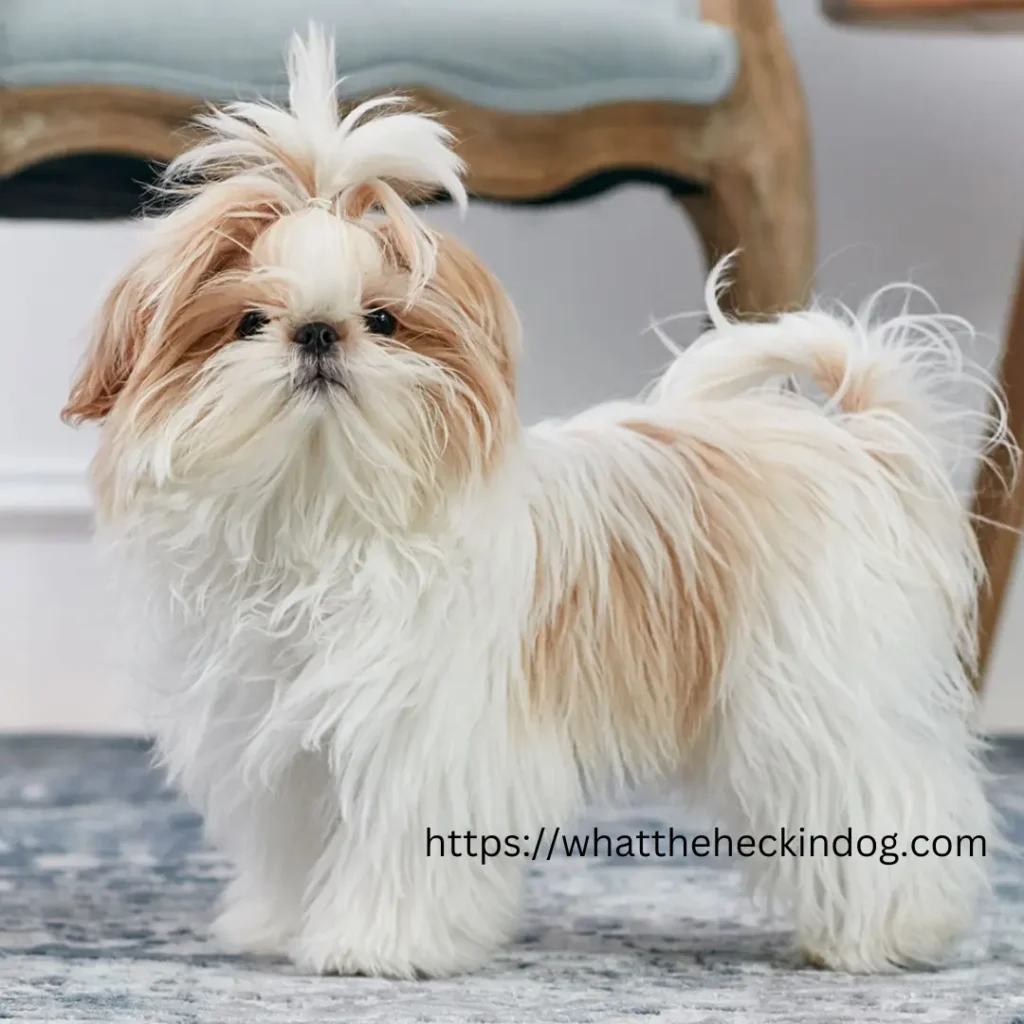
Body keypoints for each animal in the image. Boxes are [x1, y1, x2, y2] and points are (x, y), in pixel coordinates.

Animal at [61, 28, 1007, 978]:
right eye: (250, 322)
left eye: (384, 320)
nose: (318, 332)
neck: (320, 509)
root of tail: (858, 443)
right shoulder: (285, 749)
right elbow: (298, 847)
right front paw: (282, 927)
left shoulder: (419, 742)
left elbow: (398, 849)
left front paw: (376, 944)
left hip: (819, 691)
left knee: (881, 794)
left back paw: (888, 932)